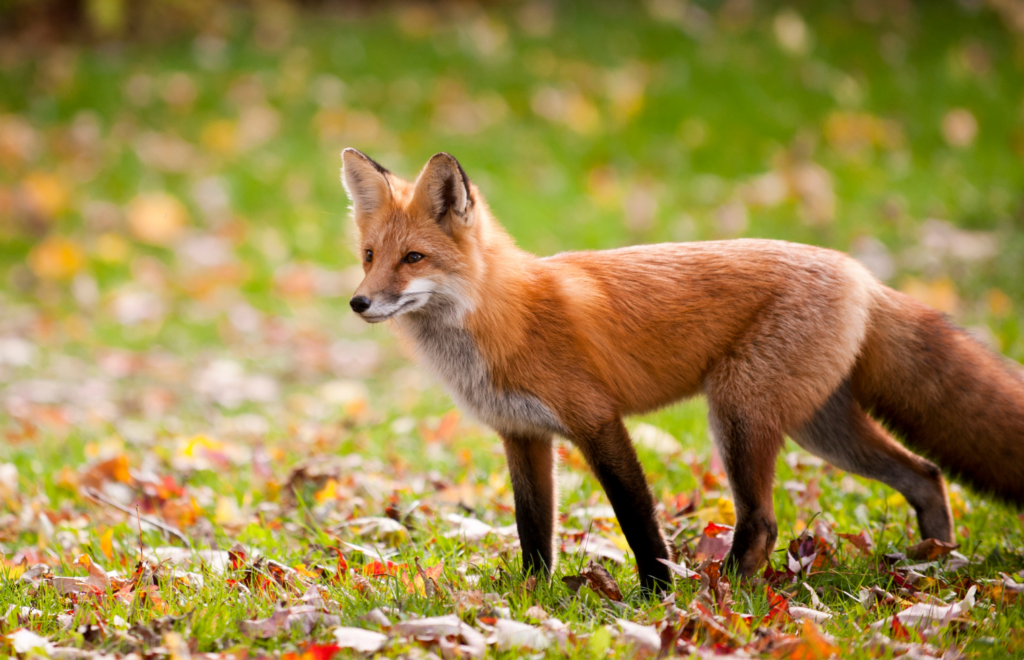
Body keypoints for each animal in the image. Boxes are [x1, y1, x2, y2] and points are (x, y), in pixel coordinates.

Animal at [341, 147, 1024, 593]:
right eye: (370, 256)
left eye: (414, 258)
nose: (359, 303)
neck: (500, 316)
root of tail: (861, 273)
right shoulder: (523, 435)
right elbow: (533, 528)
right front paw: (533, 596)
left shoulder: (596, 420)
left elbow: (636, 517)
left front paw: (655, 594)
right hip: (820, 429)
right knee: (926, 475)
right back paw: (934, 559)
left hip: (739, 415)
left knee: (763, 522)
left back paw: (722, 595)